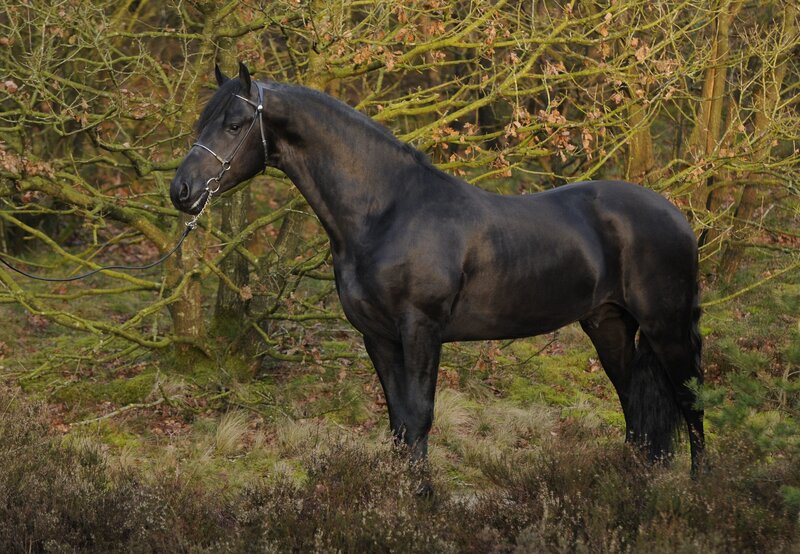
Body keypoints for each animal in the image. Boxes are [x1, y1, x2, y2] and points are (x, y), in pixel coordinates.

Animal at [171, 63, 704, 476]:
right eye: (203, 121)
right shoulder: (378, 336)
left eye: (235, 123)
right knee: (635, 407)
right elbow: (398, 423)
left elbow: (420, 417)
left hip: (667, 327)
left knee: (691, 403)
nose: (182, 191)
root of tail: (676, 215)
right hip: (609, 324)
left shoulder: (421, 329)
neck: (387, 210)